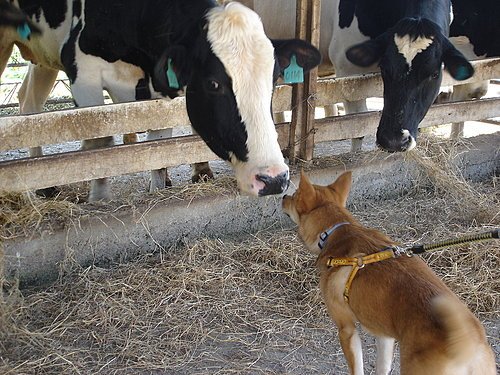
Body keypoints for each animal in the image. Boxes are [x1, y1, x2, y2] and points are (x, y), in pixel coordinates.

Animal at [0, 0, 320, 203]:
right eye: (213, 83)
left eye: (274, 78)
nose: (274, 179)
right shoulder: (82, 69)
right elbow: (101, 142)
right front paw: (99, 200)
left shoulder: (159, 87)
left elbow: (157, 149)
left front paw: (157, 190)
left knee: (29, 100)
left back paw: (46, 187)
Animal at [282, 172, 496, 374]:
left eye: (294, 195)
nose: (283, 196)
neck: (337, 230)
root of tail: (469, 346)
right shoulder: (384, 334)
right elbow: (382, 366)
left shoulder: (347, 329)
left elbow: (356, 367)